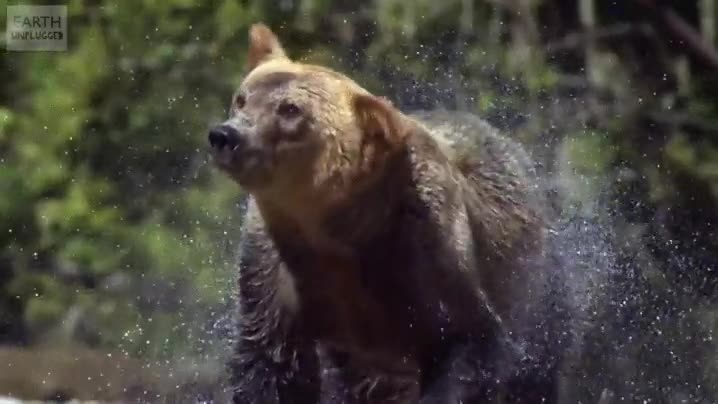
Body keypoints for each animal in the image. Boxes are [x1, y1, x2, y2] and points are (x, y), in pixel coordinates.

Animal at [208, 23, 568, 404]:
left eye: (290, 109)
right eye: (242, 98)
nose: (225, 135)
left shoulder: (426, 245)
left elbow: (470, 339)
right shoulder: (275, 267)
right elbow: (270, 362)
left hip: (540, 287)